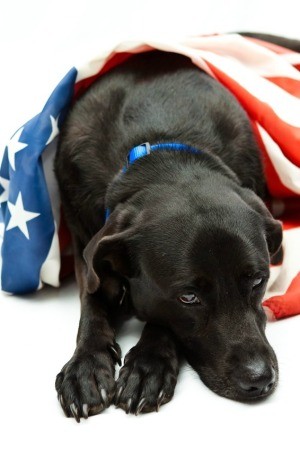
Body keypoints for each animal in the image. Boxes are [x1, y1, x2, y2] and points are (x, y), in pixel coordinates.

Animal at [54, 32, 300, 420]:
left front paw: (147, 366)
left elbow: (160, 320)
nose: (260, 379)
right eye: (188, 297)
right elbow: (91, 301)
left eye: (258, 281)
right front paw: (86, 367)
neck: (159, 146)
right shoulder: (84, 244)